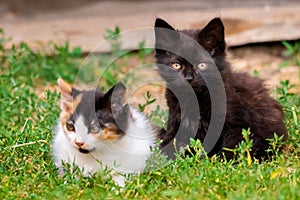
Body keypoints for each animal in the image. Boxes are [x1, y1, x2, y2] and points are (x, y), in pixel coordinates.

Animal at [156, 17, 288, 161]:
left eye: (202, 65)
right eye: (176, 65)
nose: (189, 78)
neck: (196, 99)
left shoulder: (238, 126)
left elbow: (232, 149)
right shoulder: (176, 120)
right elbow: (168, 143)